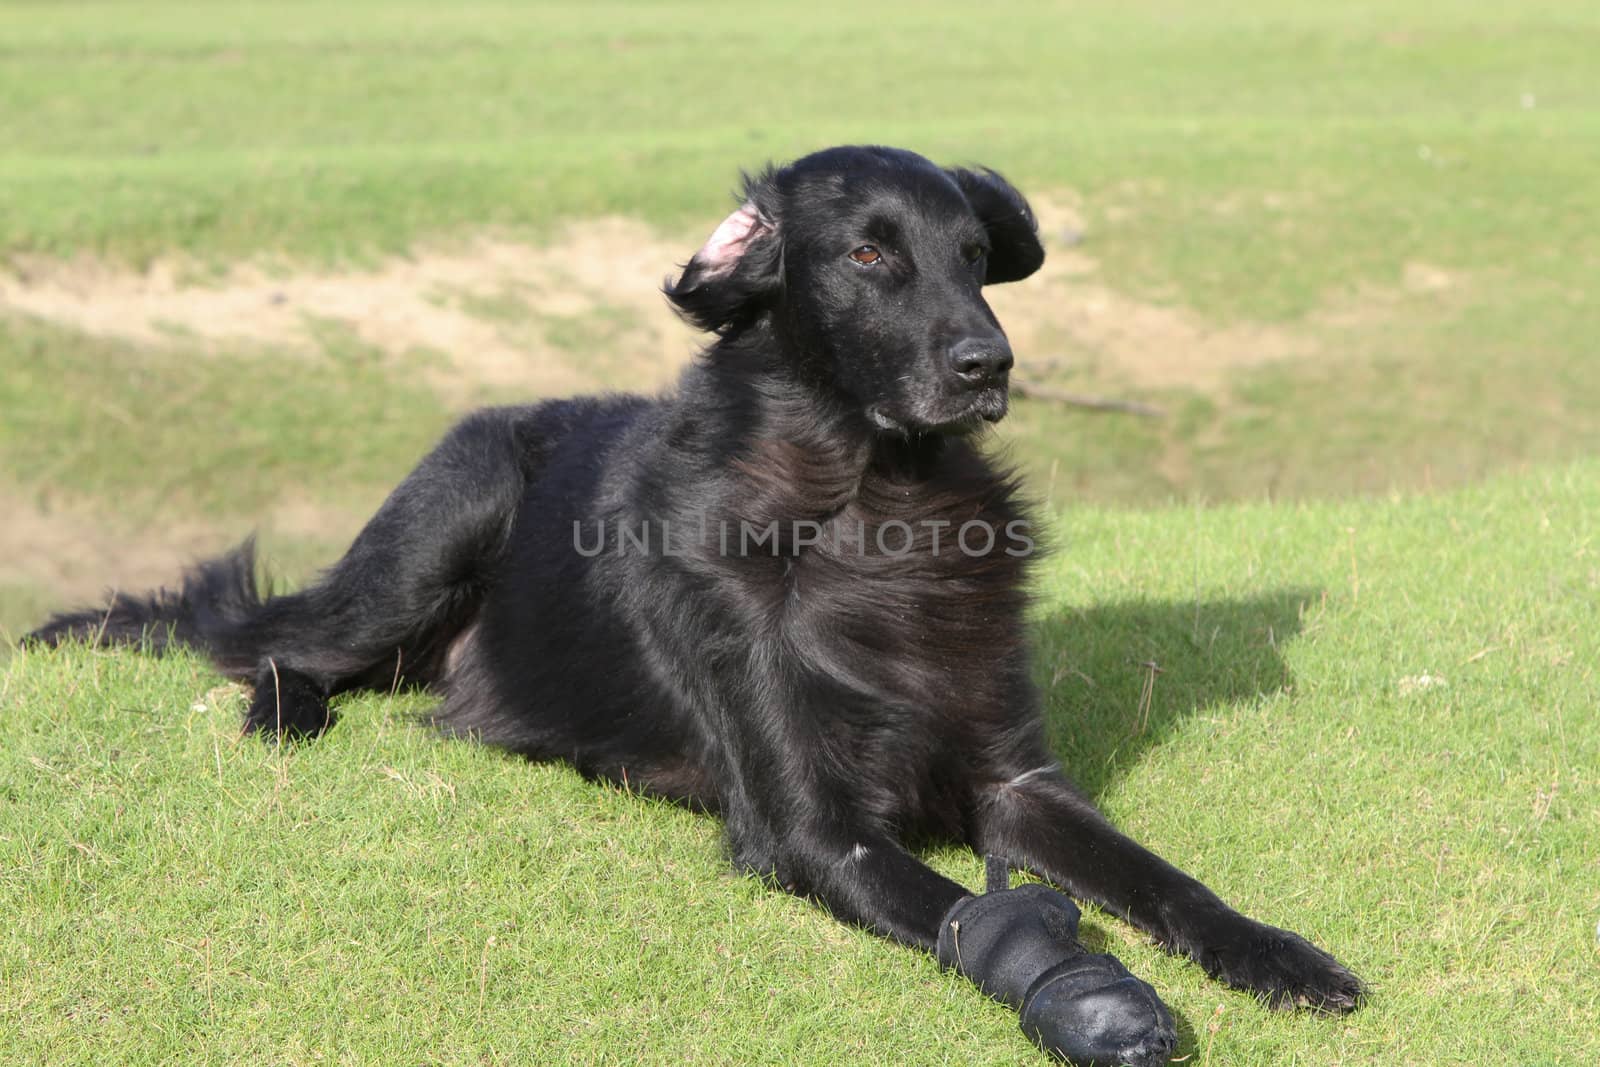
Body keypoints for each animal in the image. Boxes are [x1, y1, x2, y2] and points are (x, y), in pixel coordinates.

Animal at [31, 146, 1363, 1062]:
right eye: (869, 254)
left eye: (976, 258)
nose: (989, 364)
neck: (867, 502)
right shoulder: (807, 827)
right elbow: (972, 916)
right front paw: (1083, 992)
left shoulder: (1017, 775)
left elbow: (1161, 877)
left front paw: (1277, 953)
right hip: (433, 527)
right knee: (259, 642)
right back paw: (284, 713)